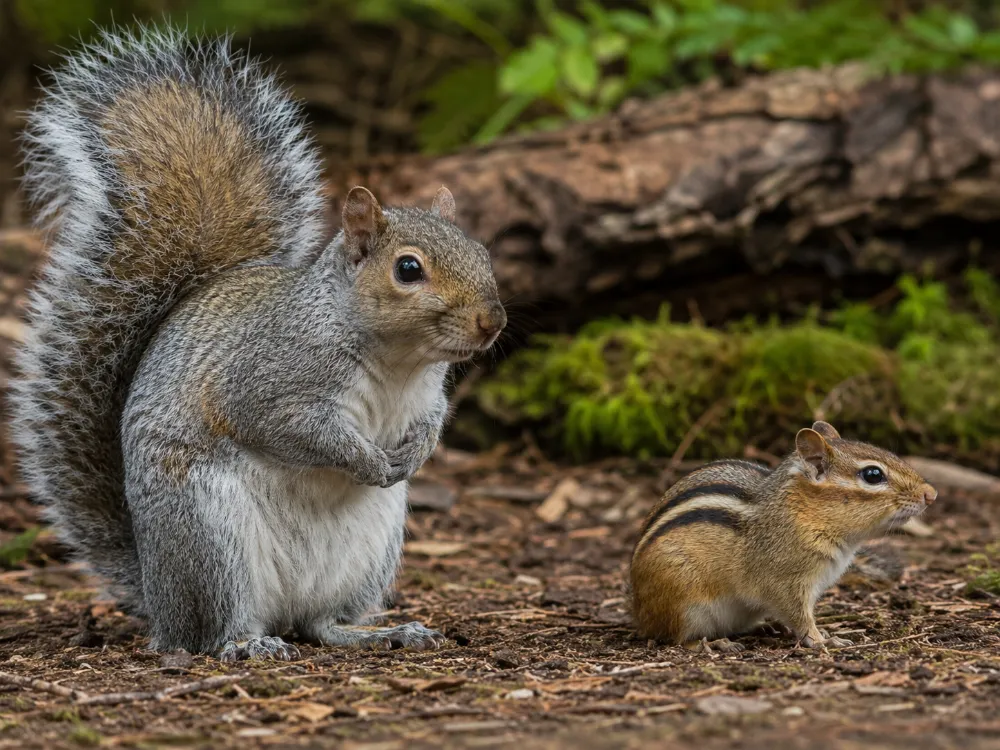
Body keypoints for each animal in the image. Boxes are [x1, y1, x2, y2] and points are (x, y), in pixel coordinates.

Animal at [11, 27, 506, 662]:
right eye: (408, 269)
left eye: (482, 252)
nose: (491, 322)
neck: (397, 361)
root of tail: (158, 598)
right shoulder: (269, 380)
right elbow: (293, 427)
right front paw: (367, 459)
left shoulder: (427, 395)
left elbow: (432, 421)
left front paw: (414, 454)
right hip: (209, 537)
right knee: (215, 630)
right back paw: (247, 645)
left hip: (370, 550)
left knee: (320, 623)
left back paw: (381, 631)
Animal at [628, 421, 936, 653]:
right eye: (873, 474)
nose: (931, 494)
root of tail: (639, 613)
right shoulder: (784, 582)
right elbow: (799, 616)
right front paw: (822, 639)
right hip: (684, 603)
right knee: (677, 637)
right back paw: (713, 644)